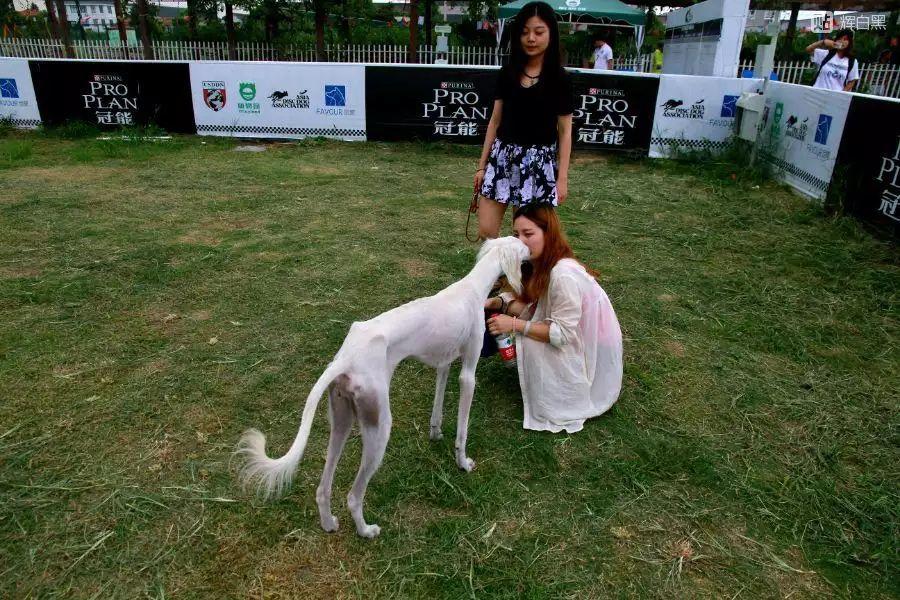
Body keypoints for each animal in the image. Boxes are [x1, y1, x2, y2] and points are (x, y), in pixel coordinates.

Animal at [236, 237, 532, 536]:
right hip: (379, 425)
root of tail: (346, 358)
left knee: (322, 488)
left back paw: (329, 523)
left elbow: (437, 407)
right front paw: (463, 463)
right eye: (522, 245)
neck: (472, 287)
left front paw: (435, 433)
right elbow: (463, 429)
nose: (532, 253)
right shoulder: (467, 374)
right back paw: (366, 530)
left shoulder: (443, 364)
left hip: (342, 419)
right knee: (353, 496)